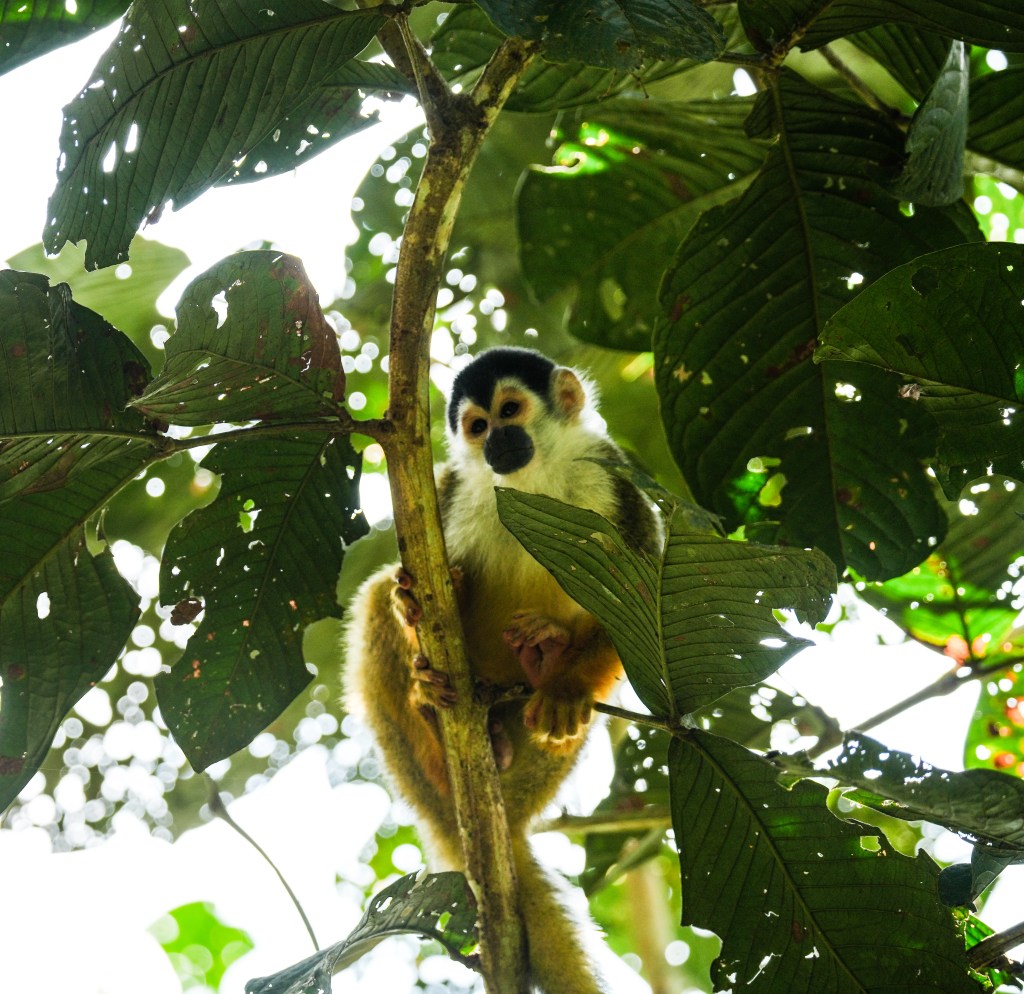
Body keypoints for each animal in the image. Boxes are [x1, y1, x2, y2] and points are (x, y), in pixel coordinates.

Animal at [344, 346, 661, 994]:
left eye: (510, 410)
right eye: (477, 425)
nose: (497, 441)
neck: (527, 483)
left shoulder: (613, 479)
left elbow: (642, 598)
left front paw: (565, 685)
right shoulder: (449, 489)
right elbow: (407, 580)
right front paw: (414, 604)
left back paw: (546, 662)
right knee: (373, 598)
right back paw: (432, 711)